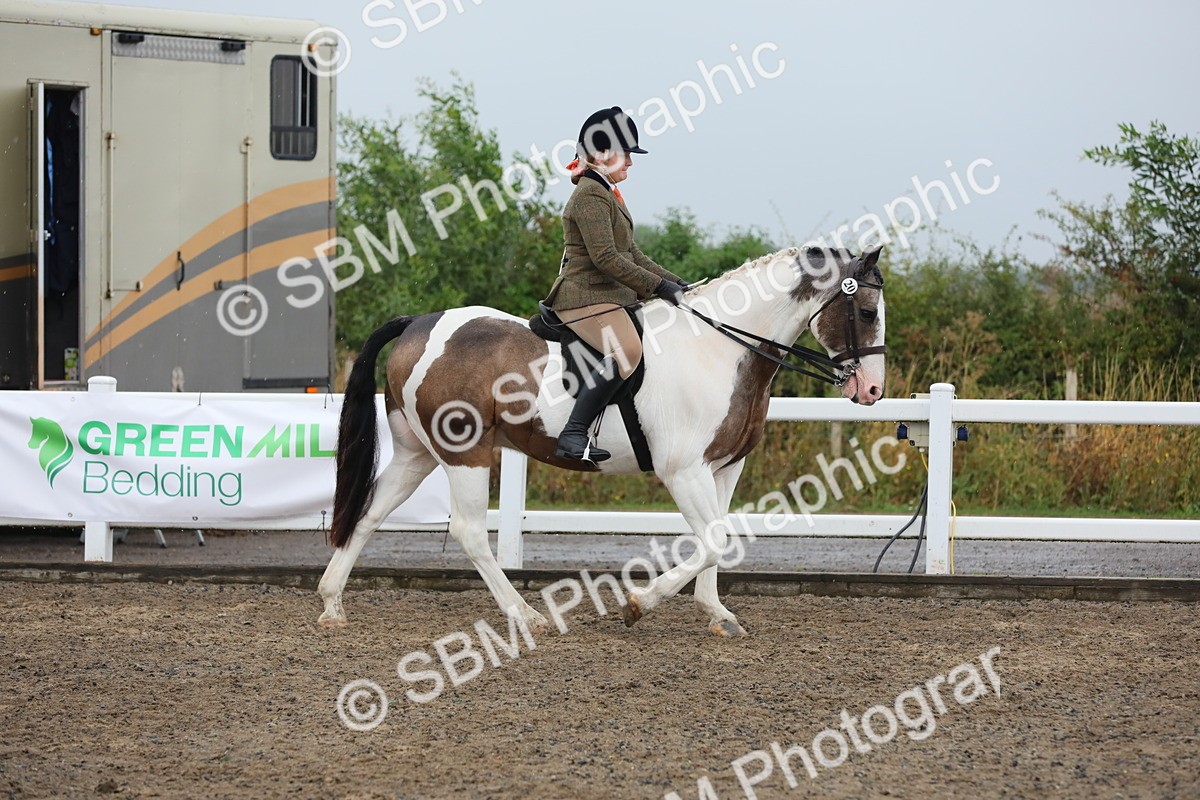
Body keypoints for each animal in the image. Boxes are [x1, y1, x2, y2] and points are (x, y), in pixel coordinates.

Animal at [317, 244, 886, 637]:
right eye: (866, 312)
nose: (872, 391)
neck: (721, 347)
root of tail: (420, 322)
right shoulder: (684, 471)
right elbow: (714, 540)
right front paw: (638, 603)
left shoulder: (725, 467)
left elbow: (724, 539)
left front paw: (717, 614)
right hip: (465, 452)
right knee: (470, 531)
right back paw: (526, 616)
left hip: (417, 454)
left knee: (369, 512)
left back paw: (331, 604)